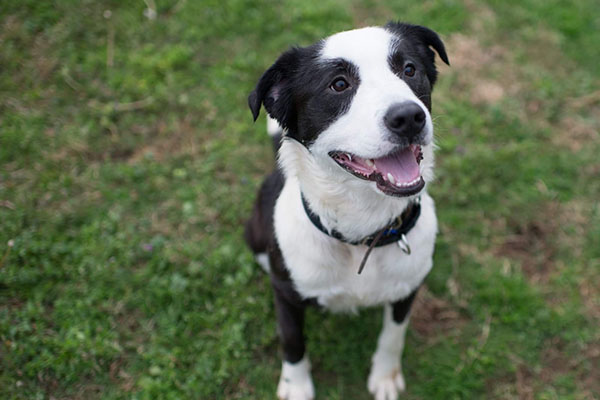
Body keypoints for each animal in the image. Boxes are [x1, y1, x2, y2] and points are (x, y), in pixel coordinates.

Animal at [244, 22, 446, 400]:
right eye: (338, 84)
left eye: (409, 69)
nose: (408, 117)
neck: (361, 231)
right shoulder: (286, 294)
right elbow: (292, 341)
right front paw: (296, 386)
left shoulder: (408, 286)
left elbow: (393, 335)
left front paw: (385, 376)